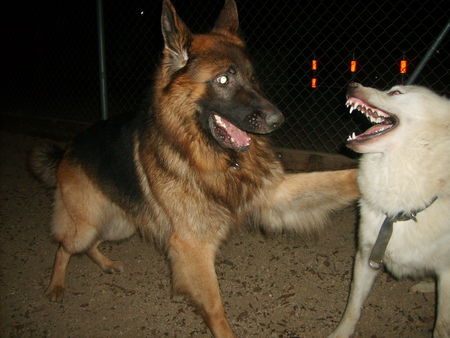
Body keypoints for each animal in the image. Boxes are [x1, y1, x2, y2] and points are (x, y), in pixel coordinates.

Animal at [30, 1, 358, 336]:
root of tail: (68, 149)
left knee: (89, 245)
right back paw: (56, 285)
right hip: (88, 224)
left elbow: (331, 181)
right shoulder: (193, 247)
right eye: (223, 80)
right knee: (65, 247)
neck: (205, 153)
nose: (278, 120)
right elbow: (214, 307)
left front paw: (367, 174)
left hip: (120, 224)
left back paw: (106, 264)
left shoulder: (273, 195)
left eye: (252, 77)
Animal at [328, 82, 448, 338]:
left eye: (395, 92)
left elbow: (442, 325)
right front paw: (340, 333)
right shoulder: (366, 255)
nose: (351, 84)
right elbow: (352, 307)